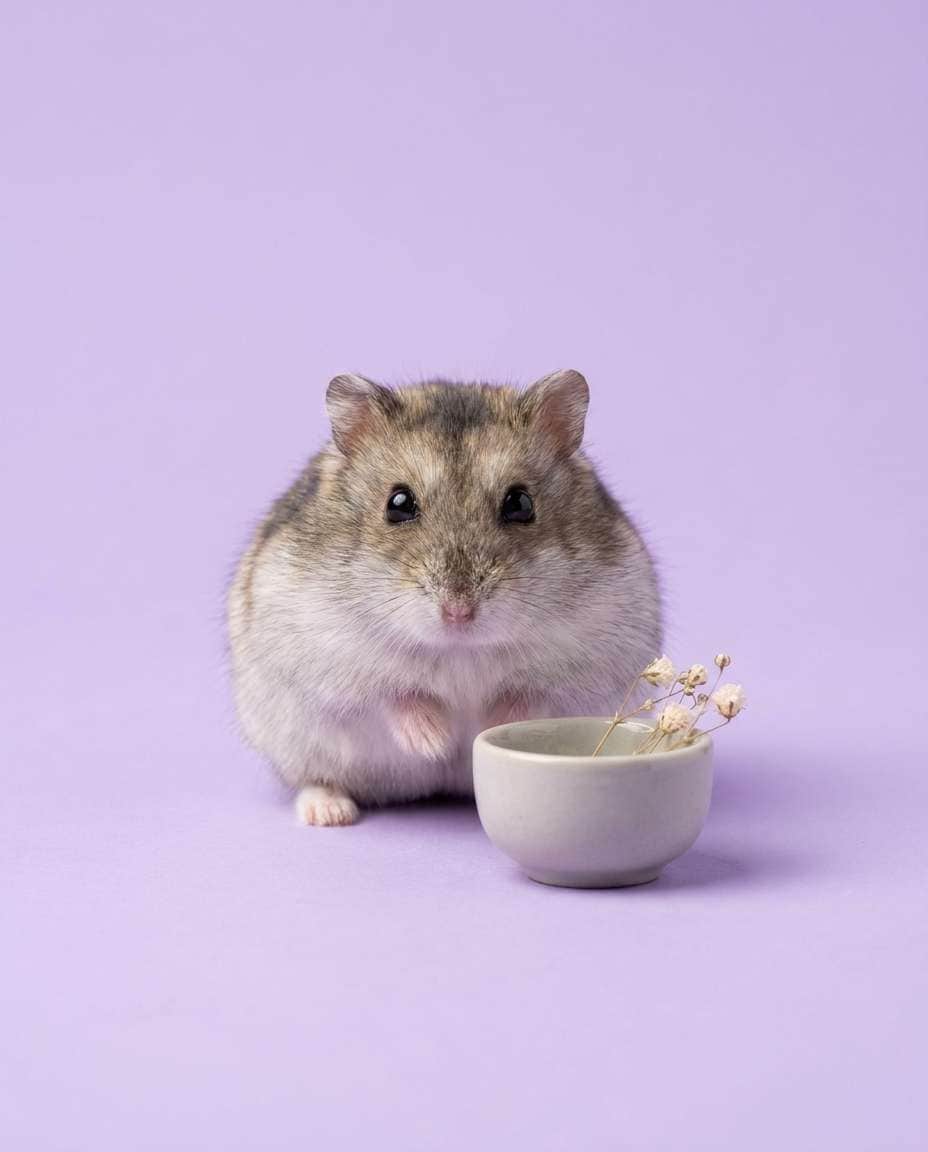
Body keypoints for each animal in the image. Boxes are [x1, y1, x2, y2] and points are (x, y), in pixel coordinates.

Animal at [227, 370, 662, 825]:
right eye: (398, 503)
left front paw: (480, 732)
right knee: (316, 779)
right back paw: (330, 813)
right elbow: (395, 696)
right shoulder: (335, 658)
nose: (458, 612)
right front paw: (437, 743)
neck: (460, 649)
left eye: (521, 503)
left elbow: (526, 697)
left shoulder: (579, 668)